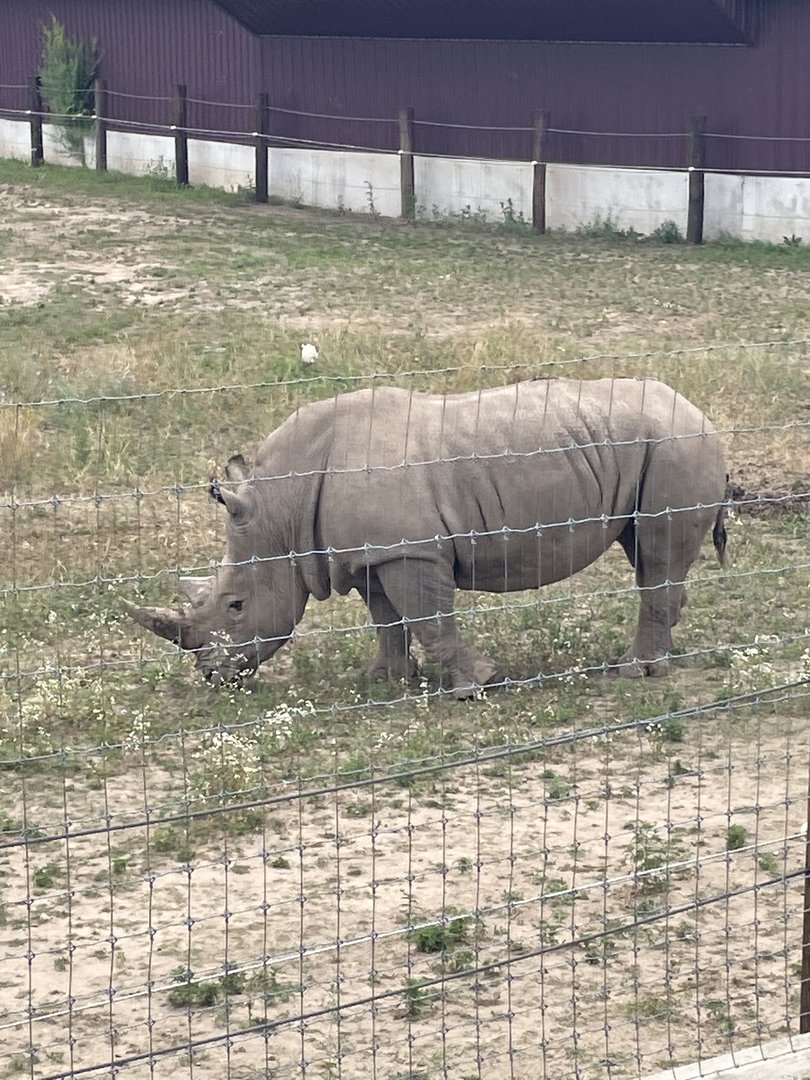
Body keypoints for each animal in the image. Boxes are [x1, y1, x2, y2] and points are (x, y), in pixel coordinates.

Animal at [125, 378, 727, 698]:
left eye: (236, 605)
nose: (213, 677)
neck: (281, 508)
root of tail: (700, 411)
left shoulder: (408, 552)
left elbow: (429, 617)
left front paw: (475, 686)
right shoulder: (371, 554)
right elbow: (387, 619)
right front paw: (385, 680)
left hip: (676, 444)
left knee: (656, 551)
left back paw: (636, 671)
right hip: (654, 443)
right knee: (646, 552)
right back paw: (659, 650)